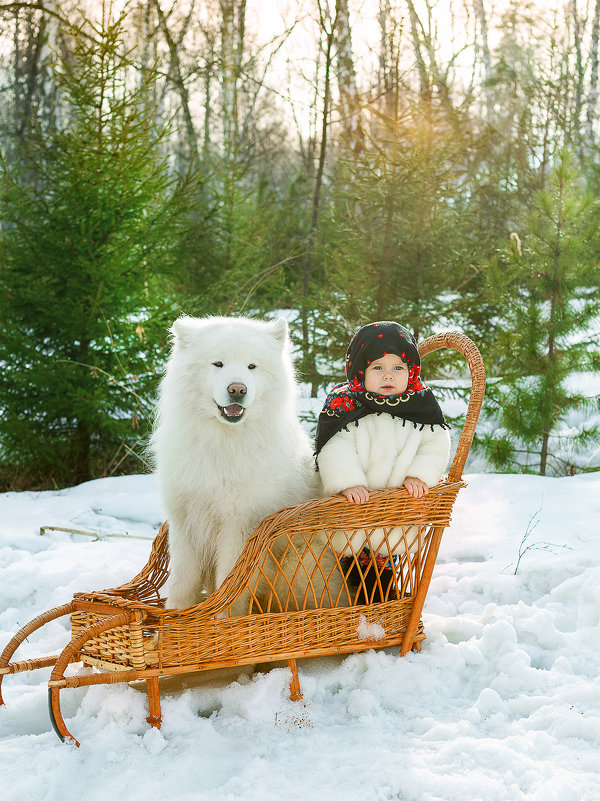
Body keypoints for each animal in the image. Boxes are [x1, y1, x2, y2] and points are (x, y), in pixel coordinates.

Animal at [150, 312, 318, 608]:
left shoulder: (239, 526)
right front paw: (173, 617)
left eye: (252, 366)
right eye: (218, 363)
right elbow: (182, 583)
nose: (237, 389)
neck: (223, 441)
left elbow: (229, 587)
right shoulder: (185, 523)